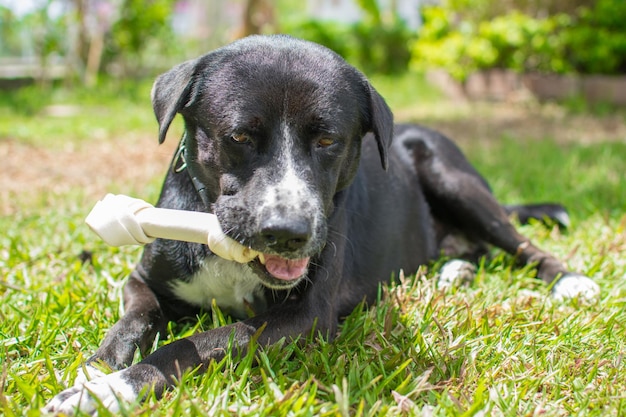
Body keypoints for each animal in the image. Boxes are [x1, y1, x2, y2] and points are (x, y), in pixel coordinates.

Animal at [42, 35, 596, 412]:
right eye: (240, 136)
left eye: (328, 140)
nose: (287, 234)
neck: (227, 250)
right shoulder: (144, 280)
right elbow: (132, 321)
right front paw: (95, 372)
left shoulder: (305, 319)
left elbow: (200, 343)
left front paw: (113, 389)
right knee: (472, 250)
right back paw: (452, 272)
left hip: (453, 177)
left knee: (519, 242)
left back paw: (569, 280)